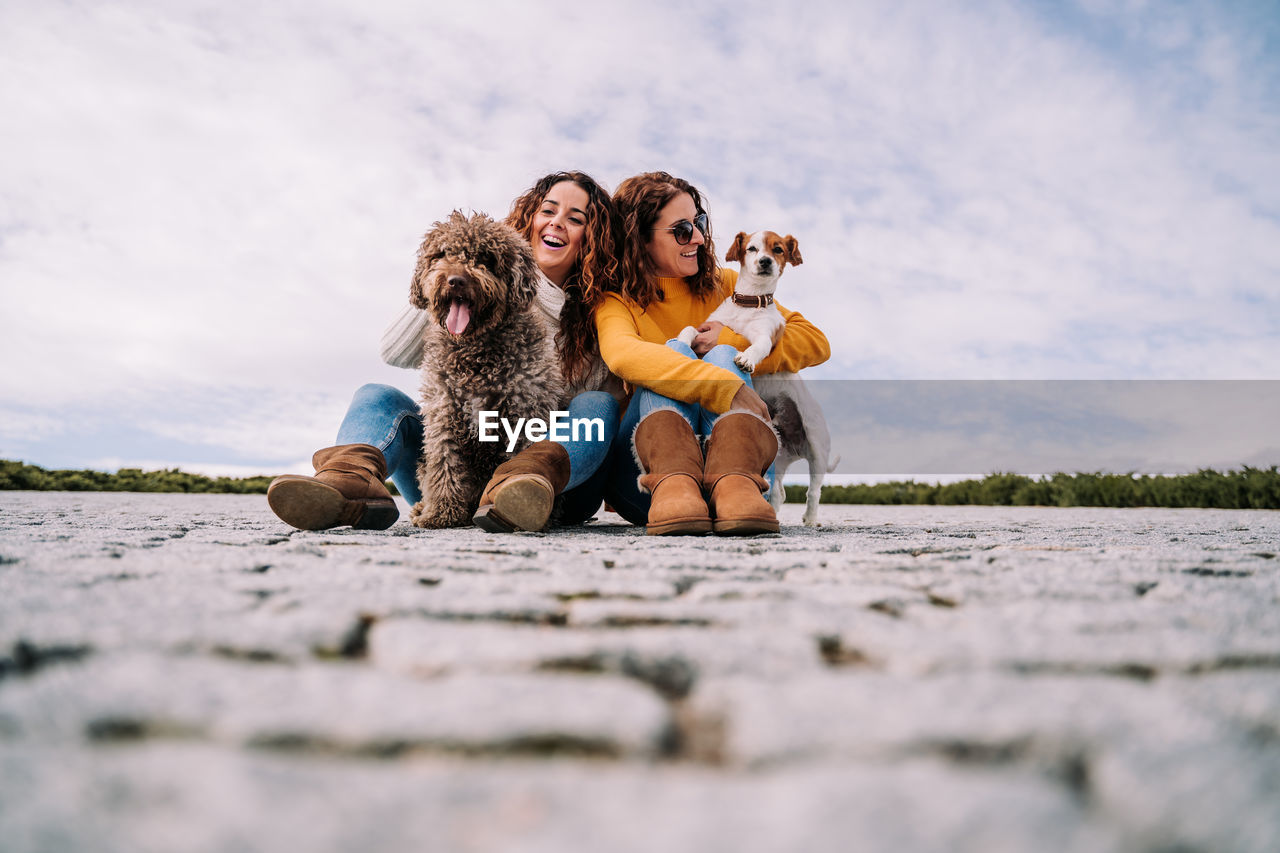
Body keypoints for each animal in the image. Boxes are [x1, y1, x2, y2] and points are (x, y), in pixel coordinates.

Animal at [407, 208, 563, 525]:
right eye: (442, 254)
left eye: (486, 257)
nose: (455, 280)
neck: (475, 352)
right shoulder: (443, 413)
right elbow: (444, 463)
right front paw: (442, 513)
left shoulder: (524, 411)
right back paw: (423, 509)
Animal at [680, 233, 839, 525]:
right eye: (752, 248)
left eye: (778, 249)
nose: (765, 261)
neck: (749, 301)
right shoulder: (706, 329)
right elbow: (689, 330)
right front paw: (680, 341)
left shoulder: (764, 336)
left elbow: (757, 347)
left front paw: (746, 359)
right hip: (777, 454)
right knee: (778, 492)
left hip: (817, 450)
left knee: (813, 491)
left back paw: (810, 519)